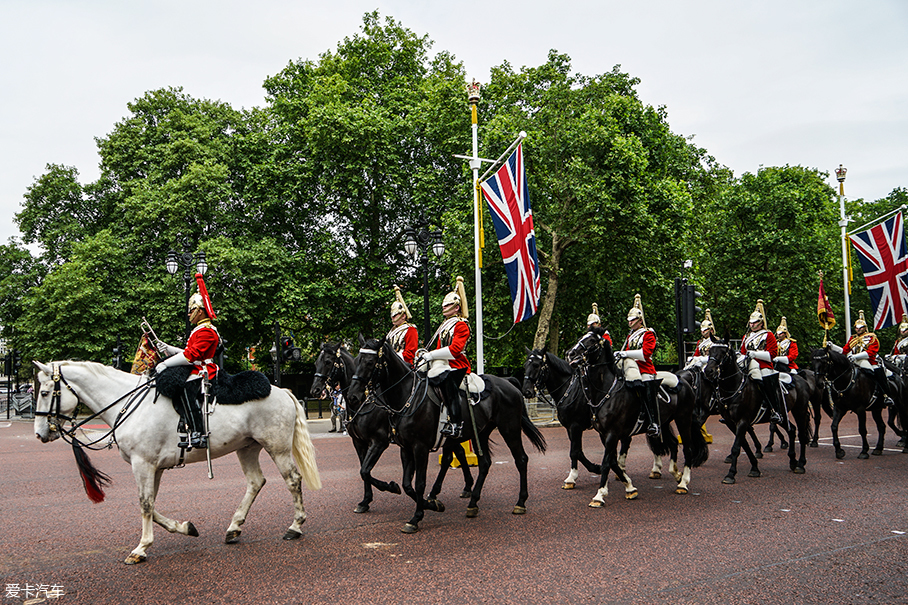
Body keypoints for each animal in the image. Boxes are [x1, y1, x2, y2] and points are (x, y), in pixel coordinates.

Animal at [32, 358, 322, 560]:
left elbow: (145, 504)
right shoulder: (154, 467)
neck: (128, 406)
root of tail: (282, 390)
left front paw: (141, 548)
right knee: (255, 482)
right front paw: (185, 527)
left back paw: (295, 526)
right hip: (247, 447)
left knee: (292, 479)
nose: (39, 433)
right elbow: (151, 504)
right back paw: (234, 528)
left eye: (45, 393)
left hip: (277, 447)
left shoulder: (143, 464)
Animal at [346, 338, 548, 532]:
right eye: (357, 361)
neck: (408, 397)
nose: (352, 396)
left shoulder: (412, 446)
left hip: (509, 428)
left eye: (370, 362)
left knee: (521, 460)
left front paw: (416, 517)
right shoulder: (404, 447)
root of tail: (509, 383)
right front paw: (429, 503)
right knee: (484, 463)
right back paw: (472, 503)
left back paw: (520, 502)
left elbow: (418, 483)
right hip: (480, 433)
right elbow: (405, 484)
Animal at [568, 326, 708, 504]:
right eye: (582, 336)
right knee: (674, 443)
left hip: (683, 419)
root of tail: (683, 381)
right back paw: (676, 473)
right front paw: (629, 487)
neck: (606, 391)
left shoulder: (612, 434)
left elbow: (607, 462)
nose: (570, 353)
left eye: (592, 340)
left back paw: (683, 483)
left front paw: (599, 495)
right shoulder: (603, 434)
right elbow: (612, 461)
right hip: (663, 422)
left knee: (688, 448)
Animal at [704, 336, 812, 482]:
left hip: (799, 410)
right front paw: (754, 467)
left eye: (724, 353)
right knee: (792, 430)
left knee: (801, 434)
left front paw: (731, 474)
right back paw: (793, 461)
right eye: (710, 351)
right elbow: (744, 444)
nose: (708, 371)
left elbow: (736, 447)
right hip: (783, 414)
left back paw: (800, 464)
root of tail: (801, 378)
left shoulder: (743, 421)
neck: (734, 388)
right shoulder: (731, 422)